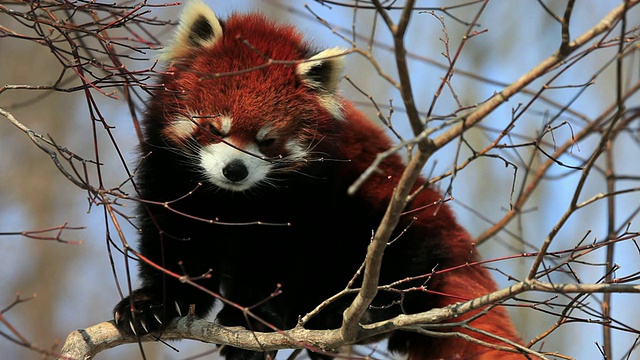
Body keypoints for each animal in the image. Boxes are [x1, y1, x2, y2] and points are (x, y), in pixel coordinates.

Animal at [114, 1, 528, 358]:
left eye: (268, 140)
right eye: (215, 128)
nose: (235, 170)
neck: (235, 199)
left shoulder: (305, 197)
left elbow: (274, 259)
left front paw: (251, 320)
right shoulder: (171, 174)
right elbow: (176, 241)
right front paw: (152, 303)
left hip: (392, 216)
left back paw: (357, 311)